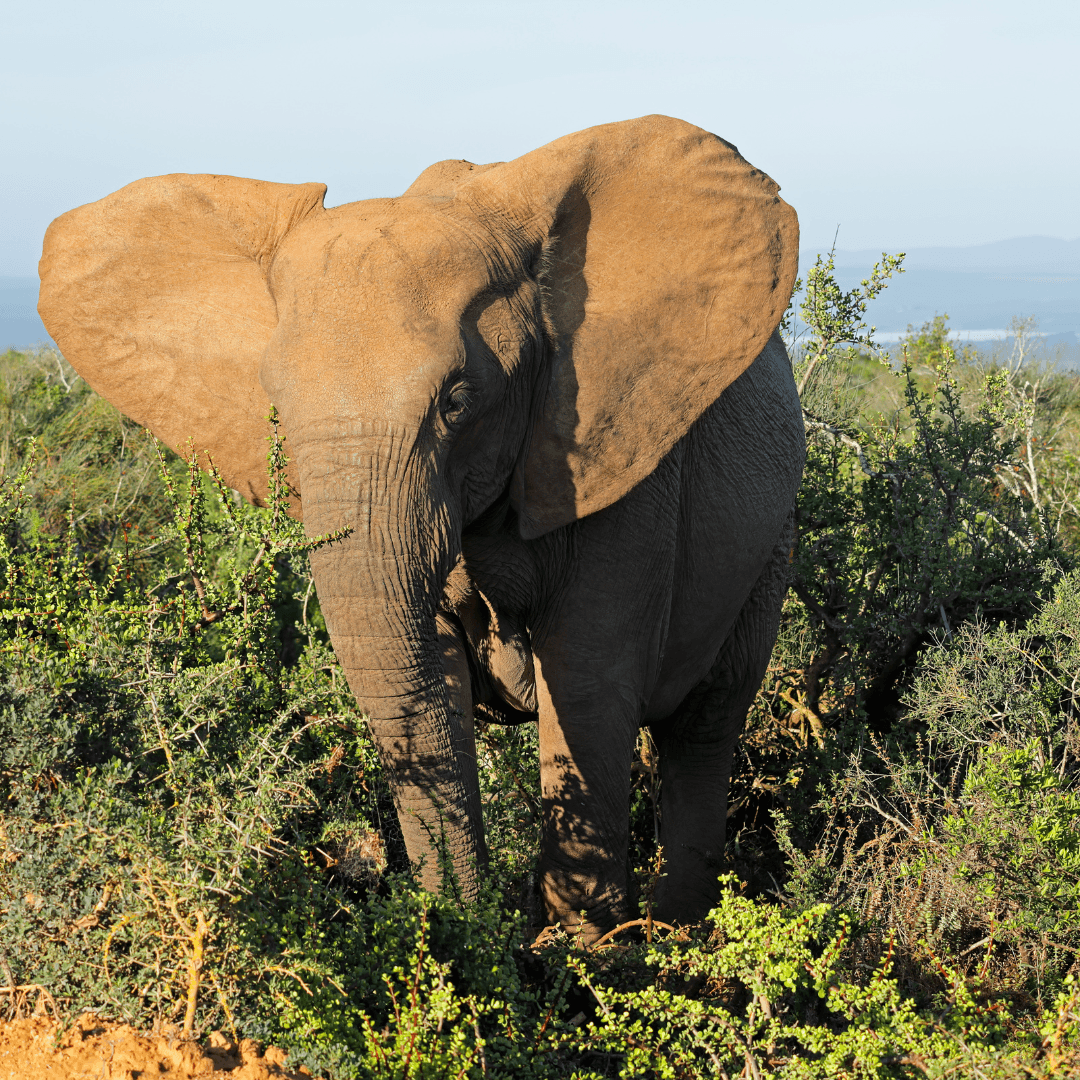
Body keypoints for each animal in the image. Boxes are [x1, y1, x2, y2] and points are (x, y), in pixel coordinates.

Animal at [38, 113, 807, 941]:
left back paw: (677, 936)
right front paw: (475, 941)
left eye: (457, 401)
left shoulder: (627, 462)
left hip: (772, 540)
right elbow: (427, 671)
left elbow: (587, 688)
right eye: (274, 407)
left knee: (704, 725)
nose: (466, 928)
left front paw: (585, 955)